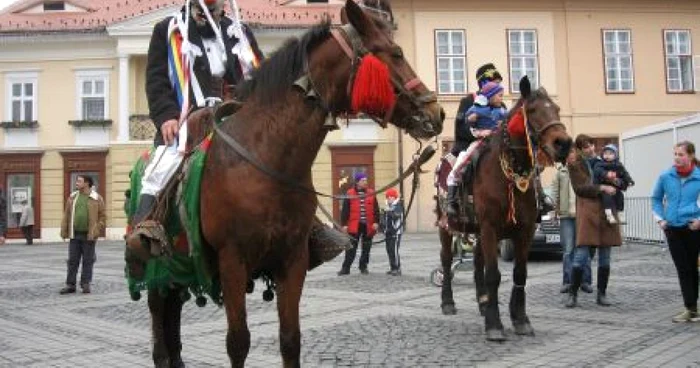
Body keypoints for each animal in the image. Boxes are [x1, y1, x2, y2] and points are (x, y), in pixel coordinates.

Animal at [147, 1, 442, 366]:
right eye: (396, 53)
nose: (437, 113)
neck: (265, 159)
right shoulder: (233, 261)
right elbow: (238, 342)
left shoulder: (293, 259)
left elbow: (290, 339)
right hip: (157, 268)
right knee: (159, 319)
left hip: (179, 267)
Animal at [434, 76, 572, 340]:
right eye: (533, 110)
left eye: (557, 109)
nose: (564, 143)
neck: (508, 173)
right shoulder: (490, 228)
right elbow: (494, 275)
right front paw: (494, 324)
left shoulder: (524, 231)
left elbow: (519, 273)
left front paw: (519, 318)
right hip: (446, 226)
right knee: (446, 260)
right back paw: (447, 302)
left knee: (477, 262)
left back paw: (483, 301)